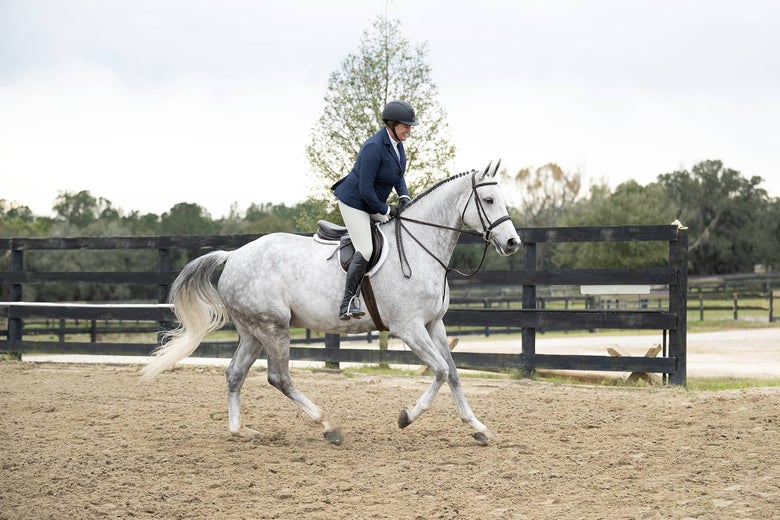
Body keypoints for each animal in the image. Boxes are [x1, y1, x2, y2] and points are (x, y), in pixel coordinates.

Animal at [141, 161, 521, 445]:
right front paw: (406, 417)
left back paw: (241, 430)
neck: (419, 245)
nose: (513, 243)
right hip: (274, 327)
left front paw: (478, 427)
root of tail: (233, 256)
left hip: (253, 331)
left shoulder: (433, 323)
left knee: (235, 373)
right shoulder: (409, 327)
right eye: (488, 200)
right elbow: (440, 370)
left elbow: (453, 373)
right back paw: (328, 426)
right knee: (279, 377)